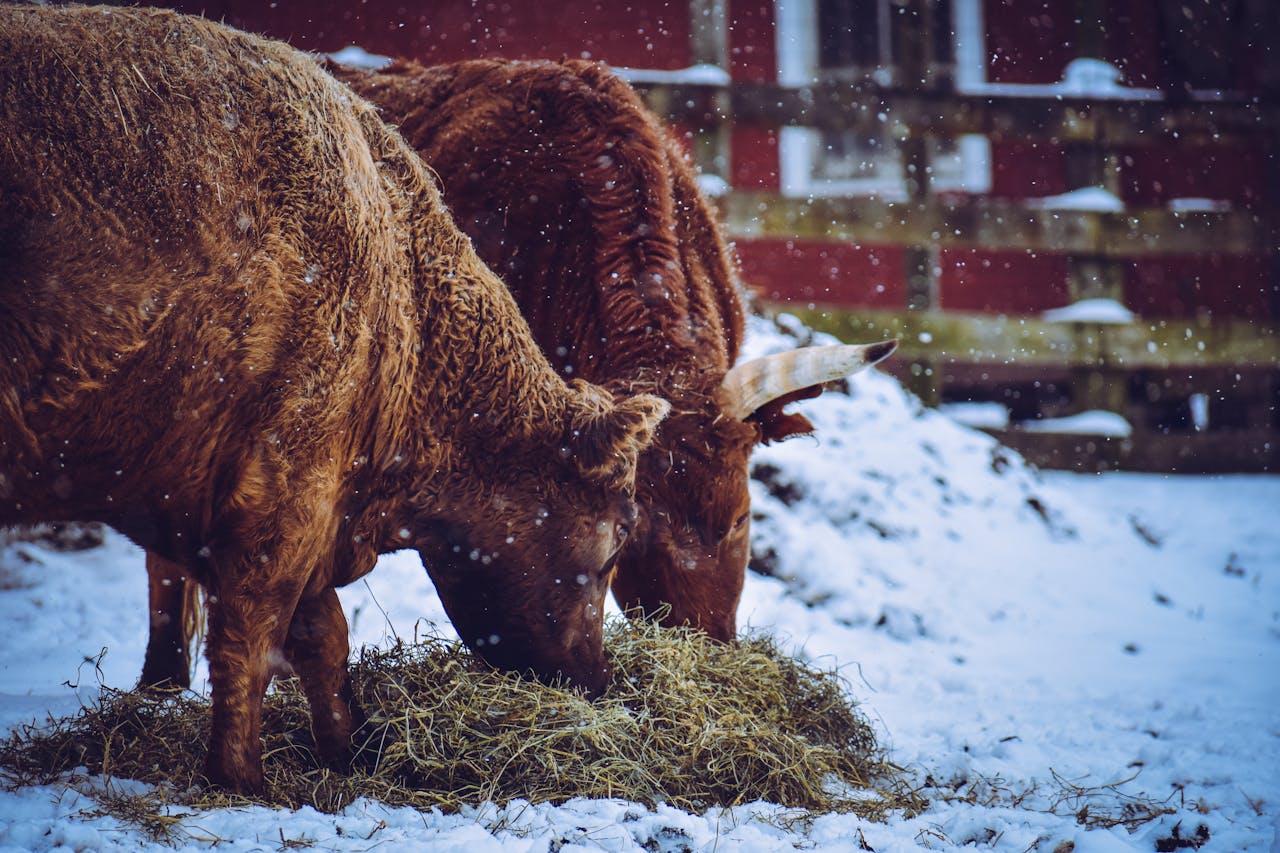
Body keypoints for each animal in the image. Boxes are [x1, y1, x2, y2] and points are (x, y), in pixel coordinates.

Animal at [0, 5, 669, 794]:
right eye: (617, 537)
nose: (599, 683)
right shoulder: (286, 486)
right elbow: (252, 638)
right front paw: (241, 779)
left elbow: (325, 636)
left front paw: (348, 752)